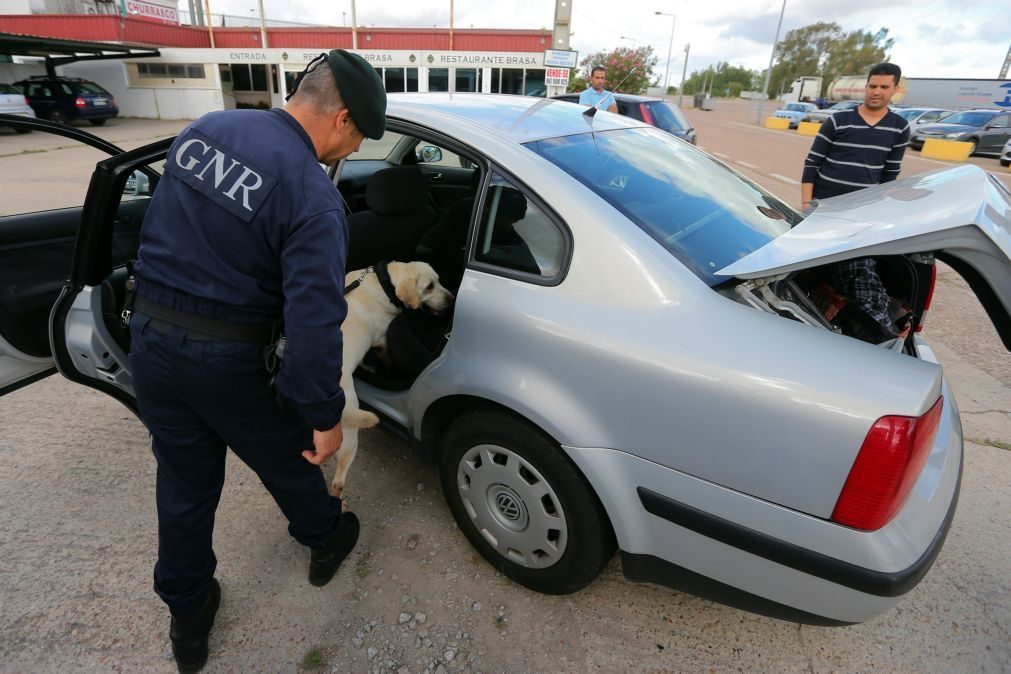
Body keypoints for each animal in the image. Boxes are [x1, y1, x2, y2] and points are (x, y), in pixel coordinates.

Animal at [331, 260, 454, 499]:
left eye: (439, 280)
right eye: (429, 287)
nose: (452, 298)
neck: (384, 282)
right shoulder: (382, 341)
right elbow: (387, 360)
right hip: (350, 435)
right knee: (338, 482)